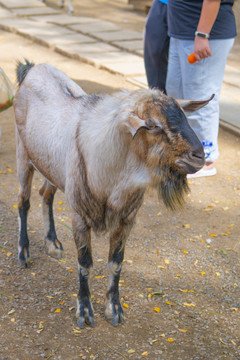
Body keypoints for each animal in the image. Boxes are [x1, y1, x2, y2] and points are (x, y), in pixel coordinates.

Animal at [13, 59, 212, 330]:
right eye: (153, 125)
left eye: (184, 116)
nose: (199, 156)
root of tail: (33, 68)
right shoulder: (80, 216)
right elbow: (85, 263)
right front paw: (84, 311)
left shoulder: (127, 219)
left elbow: (116, 262)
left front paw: (114, 309)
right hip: (24, 155)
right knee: (23, 202)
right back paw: (24, 253)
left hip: (52, 168)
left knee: (46, 194)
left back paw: (52, 243)